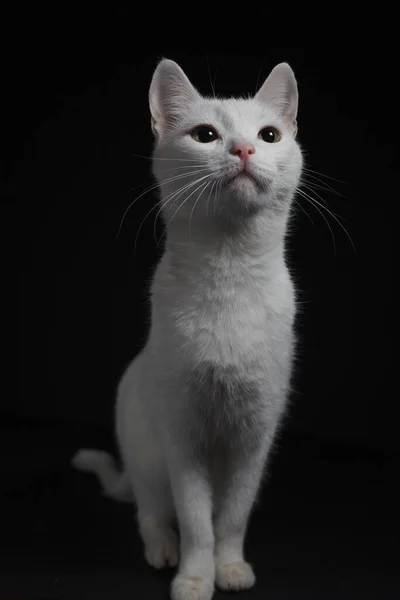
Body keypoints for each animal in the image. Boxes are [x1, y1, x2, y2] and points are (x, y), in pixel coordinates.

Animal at [72, 57, 304, 600]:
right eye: (206, 135)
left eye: (268, 135)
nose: (243, 149)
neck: (230, 274)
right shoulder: (182, 434)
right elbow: (197, 520)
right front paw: (196, 578)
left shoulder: (255, 436)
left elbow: (232, 517)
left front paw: (230, 567)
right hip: (146, 455)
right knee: (152, 512)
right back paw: (162, 550)